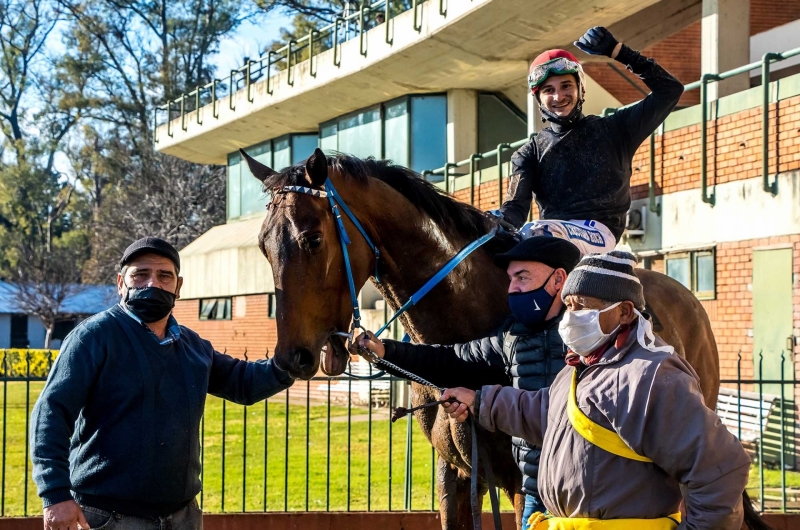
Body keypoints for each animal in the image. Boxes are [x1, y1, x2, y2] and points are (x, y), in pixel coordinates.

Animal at [244, 148, 764, 528]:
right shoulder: (455, 476)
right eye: (263, 247)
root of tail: (688, 298)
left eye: (312, 238)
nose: (292, 357)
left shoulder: (522, 482)